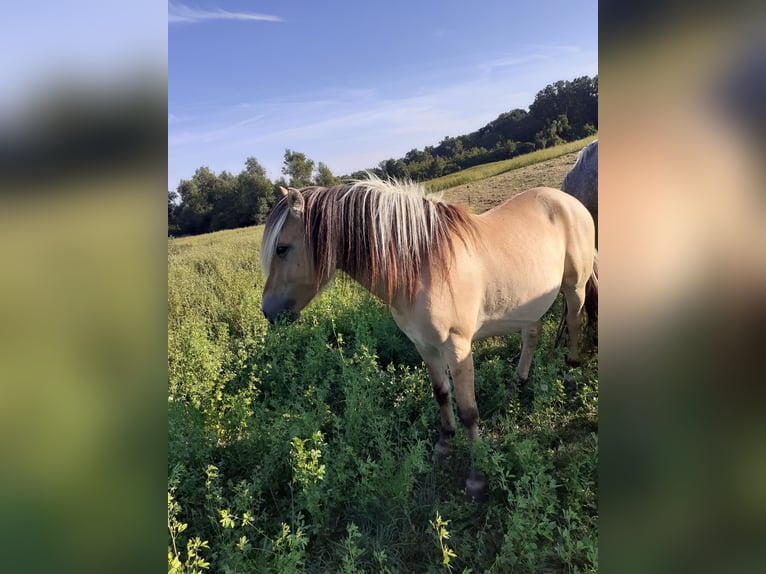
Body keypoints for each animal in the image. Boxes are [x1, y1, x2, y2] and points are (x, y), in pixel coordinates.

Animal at [262, 178, 600, 502]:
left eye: (282, 248)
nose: (268, 311)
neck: (421, 267)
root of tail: (569, 201)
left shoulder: (458, 348)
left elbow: (469, 411)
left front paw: (476, 477)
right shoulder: (424, 345)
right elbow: (441, 394)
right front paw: (444, 444)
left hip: (574, 287)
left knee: (574, 324)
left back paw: (570, 374)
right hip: (527, 301)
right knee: (532, 333)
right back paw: (517, 384)